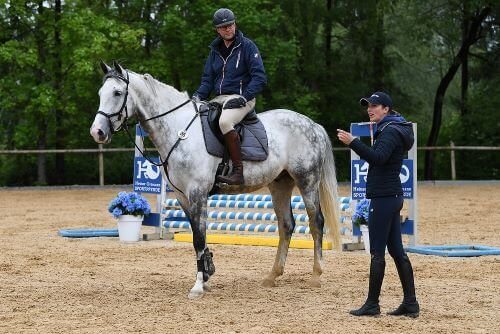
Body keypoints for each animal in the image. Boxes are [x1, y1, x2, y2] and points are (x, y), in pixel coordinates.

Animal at [90, 61, 342, 298]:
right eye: (101, 92)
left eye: (117, 93)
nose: (97, 132)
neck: (179, 131)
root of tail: (313, 124)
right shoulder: (183, 196)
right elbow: (196, 235)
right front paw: (207, 274)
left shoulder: (198, 193)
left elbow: (199, 238)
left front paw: (198, 285)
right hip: (280, 183)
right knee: (286, 225)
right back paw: (272, 276)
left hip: (307, 180)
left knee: (316, 222)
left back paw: (316, 276)